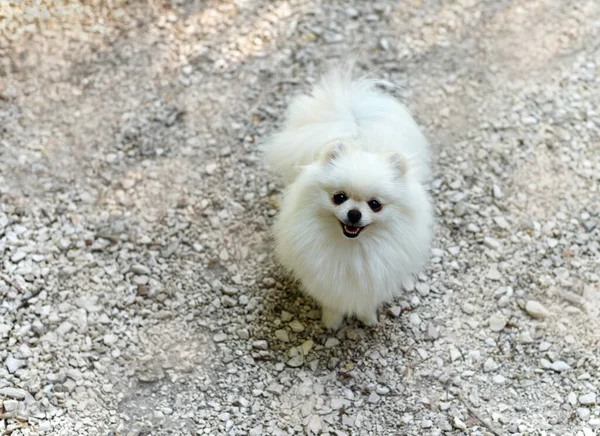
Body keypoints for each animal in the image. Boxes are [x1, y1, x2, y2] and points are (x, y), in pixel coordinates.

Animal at [264, 66, 434, 328]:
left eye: (375, 205)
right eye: (339, 197)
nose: (354, 214)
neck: (353, 248)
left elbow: (365, 303)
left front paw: (368, 319)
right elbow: (332, 303)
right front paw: (331, 323)